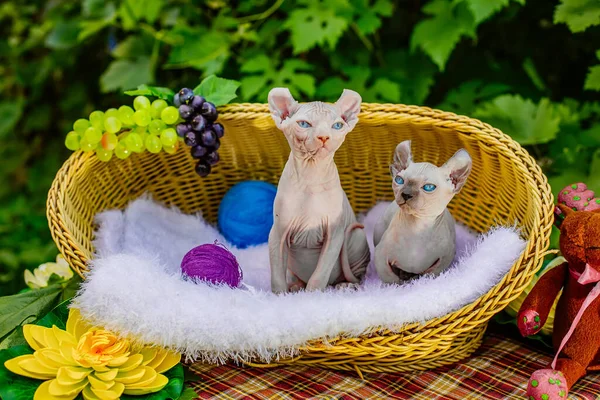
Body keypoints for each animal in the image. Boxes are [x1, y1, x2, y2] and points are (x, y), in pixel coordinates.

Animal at [268, 88, 370, 294]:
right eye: (304, 124)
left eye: (337, 125)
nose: (324, 137)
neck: (311, 176)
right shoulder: (277, 232)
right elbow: (277, 276)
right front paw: (279, 296)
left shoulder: (335, 234)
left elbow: (320, 274)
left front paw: (313, 297)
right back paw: (296, 286)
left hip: (357, 237)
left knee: (358, 276)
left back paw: (346, 286)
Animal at [372, 141, 472, 284]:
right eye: (399, 180)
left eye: (429, 187)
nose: (406, 194)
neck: (417, 228)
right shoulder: (381, 258)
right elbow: (392, 281)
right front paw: (401, 284)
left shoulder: (444, 260)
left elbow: (429, 275)